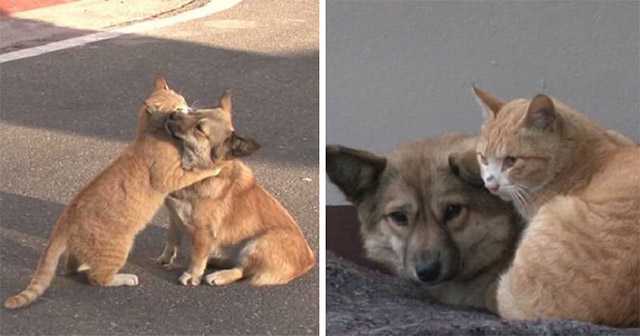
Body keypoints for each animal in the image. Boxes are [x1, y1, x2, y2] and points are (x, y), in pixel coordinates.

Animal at [2, 77, 218, 308]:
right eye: (178, 109)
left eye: (184, 101)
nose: (191, 109)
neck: (150, 133)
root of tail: (66, 216)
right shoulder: (170, 178)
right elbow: (195, 173)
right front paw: (214, 167)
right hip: (119, 247)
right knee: (98, 279)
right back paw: (123, 278)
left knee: (71, 266)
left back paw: (83, 266)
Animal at [156, 92, 316, 286]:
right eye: (193, 111)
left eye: (200, 129)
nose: (172, 114)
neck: (200, 174)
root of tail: (309, 260)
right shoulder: (174, 218)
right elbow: (171, 240)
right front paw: (165, 258)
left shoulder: (203, 233)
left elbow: (197, 257)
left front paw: (192, 275)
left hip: (258, 243)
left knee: (242, 270)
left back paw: (219, 275)